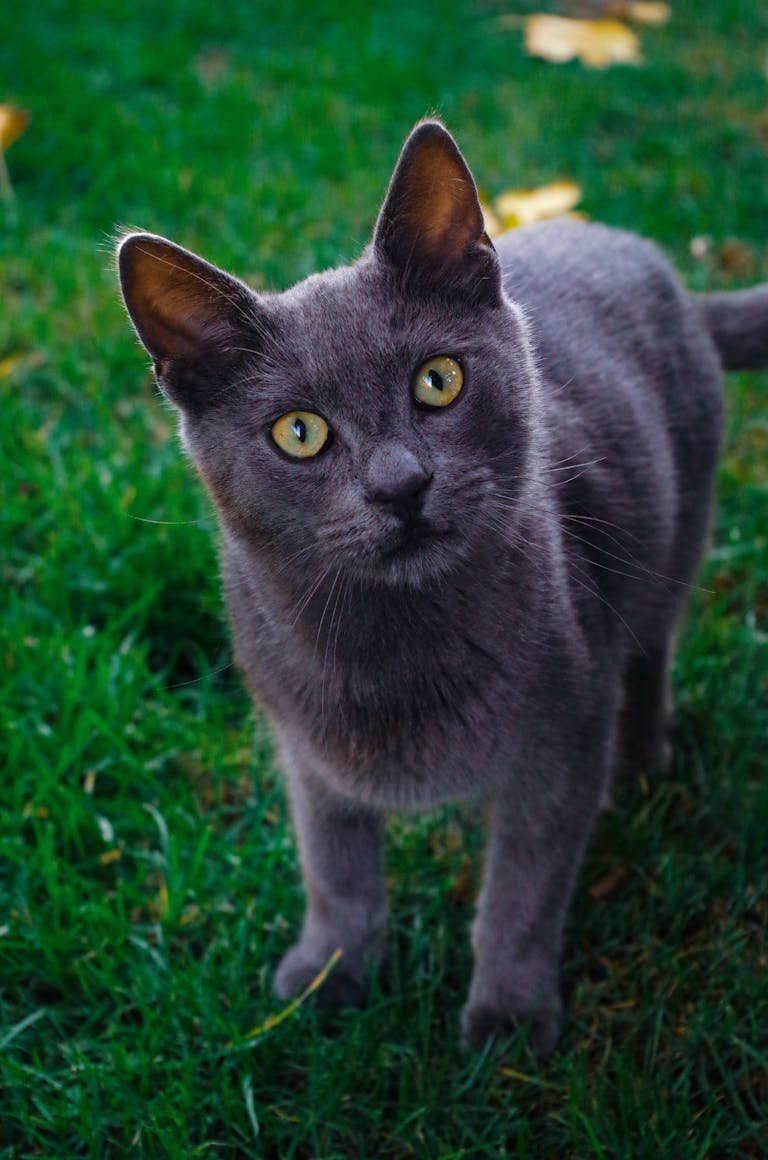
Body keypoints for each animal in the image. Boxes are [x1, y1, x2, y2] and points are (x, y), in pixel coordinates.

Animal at [116, 120, 768, 1053]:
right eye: (299, 433)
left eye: (439, 380)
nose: (401, 485)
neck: (392, 650)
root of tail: (655, 264)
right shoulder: (307, 752)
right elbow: (335, 872)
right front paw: (327, 977)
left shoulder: (560, 743)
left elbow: (524, 893)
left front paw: (509, 1020)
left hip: (671, 543)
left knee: (648, 650)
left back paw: (641, 759)